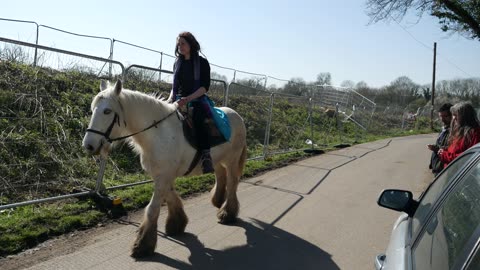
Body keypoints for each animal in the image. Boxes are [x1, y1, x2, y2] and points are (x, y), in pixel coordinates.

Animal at [82, 79, 248, 258]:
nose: (88, 146)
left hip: (232, 160)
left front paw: (143, 244)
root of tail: (237, 115)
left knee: (232, 183)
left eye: (107, 111)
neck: (158, 134)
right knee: (221, 176)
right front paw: (177, 223)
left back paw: (227, 212)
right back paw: (218, 200)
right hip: (218, 160)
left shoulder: (164, 176)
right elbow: (171, 197)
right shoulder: (161, 175)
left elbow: (152, 209)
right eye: (93, 109)